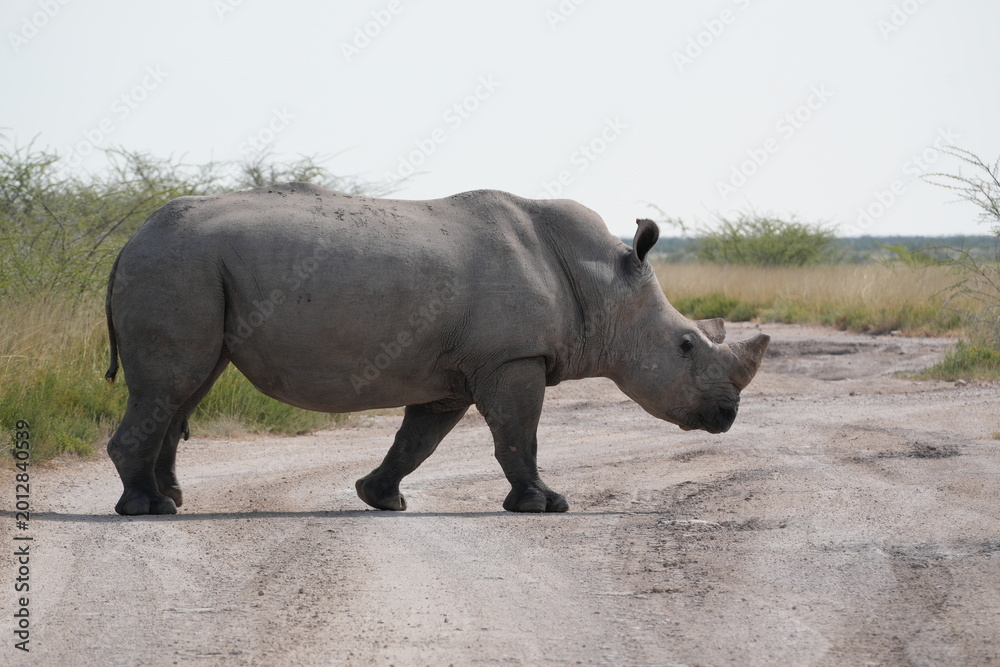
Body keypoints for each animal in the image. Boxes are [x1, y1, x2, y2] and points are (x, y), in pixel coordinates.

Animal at [104, 184, 769, 515]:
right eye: (686, 345)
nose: (727, 416)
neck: (602, 282)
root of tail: (130, 239)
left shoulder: (457, 369)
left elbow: (418, 440)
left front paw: (381, 499)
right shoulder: (511, 357)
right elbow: (518, 435)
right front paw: (545, 505)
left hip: (188, 268)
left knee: (186, 388)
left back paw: (170, 500)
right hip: (177, 266)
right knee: (172, 384)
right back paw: (147, 511)